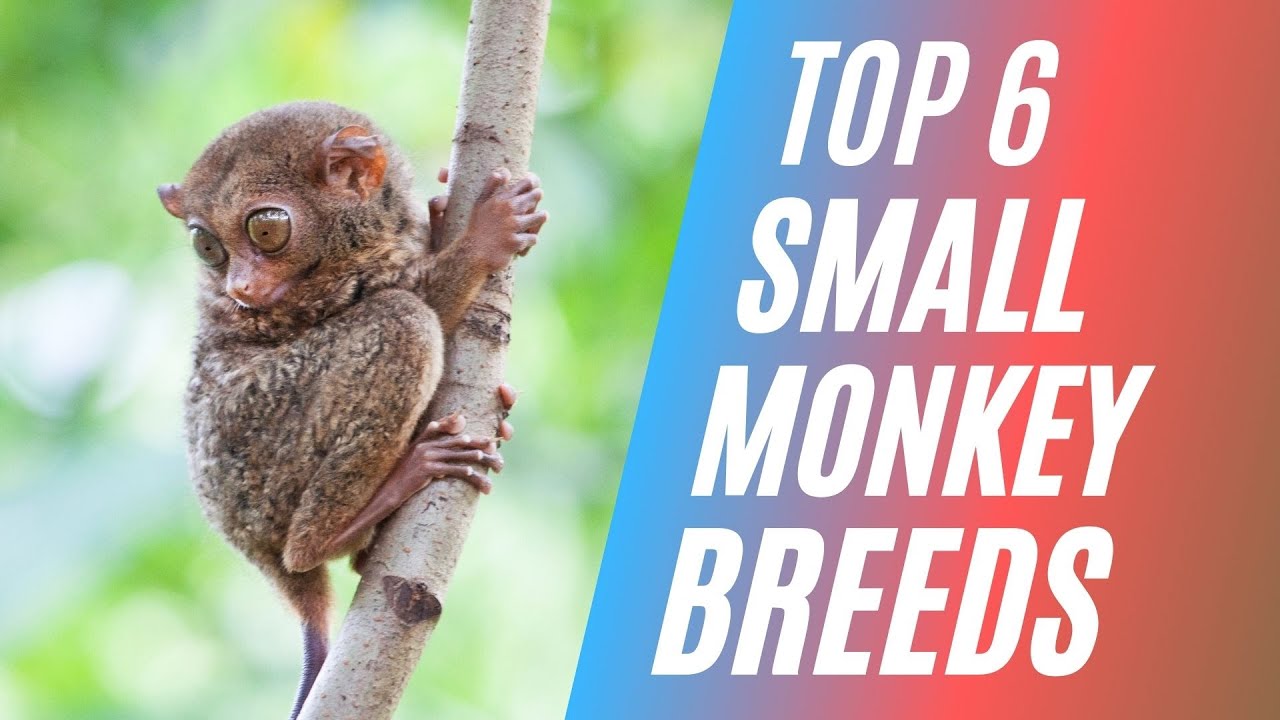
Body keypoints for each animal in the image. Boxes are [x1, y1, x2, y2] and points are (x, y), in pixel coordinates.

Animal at [157, 101, 547, 719]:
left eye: (265, 230)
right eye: (208, 247)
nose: (241, 288)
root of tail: (252, 548)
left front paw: (441, 216)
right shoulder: (311, 298)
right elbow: (421, 296)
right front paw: (488, 233)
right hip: (264, 451)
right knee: (403, 318)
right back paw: (356, 515)